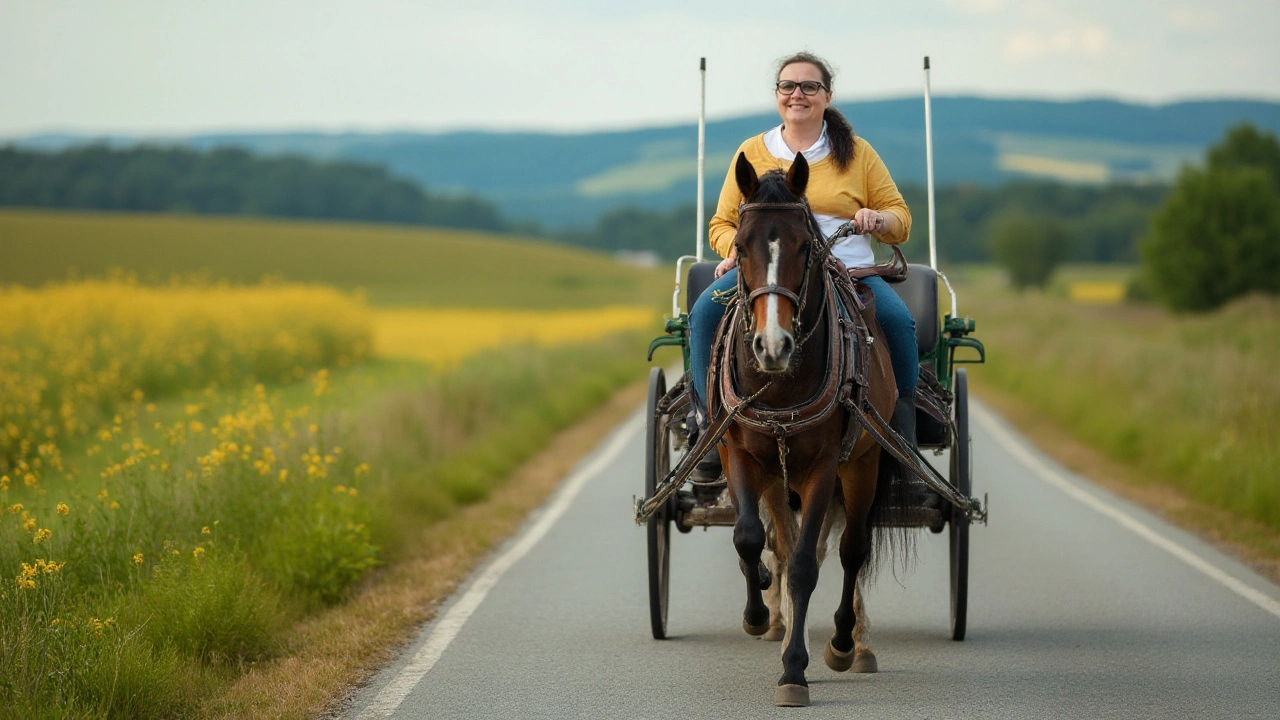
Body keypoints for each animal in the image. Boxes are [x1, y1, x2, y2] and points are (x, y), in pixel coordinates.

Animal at [711, 151, 901, 707]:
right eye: (739, 246)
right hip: (779, 477)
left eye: (804, 246)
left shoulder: (824, 466)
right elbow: (750, 539)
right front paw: (758, 617)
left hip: (862, 465)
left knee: (851, 548)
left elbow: (804, 566)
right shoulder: (739, 454)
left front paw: (795, 670)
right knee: (782, 539)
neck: (779, 383)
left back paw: (847, 644)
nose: (773, 346)